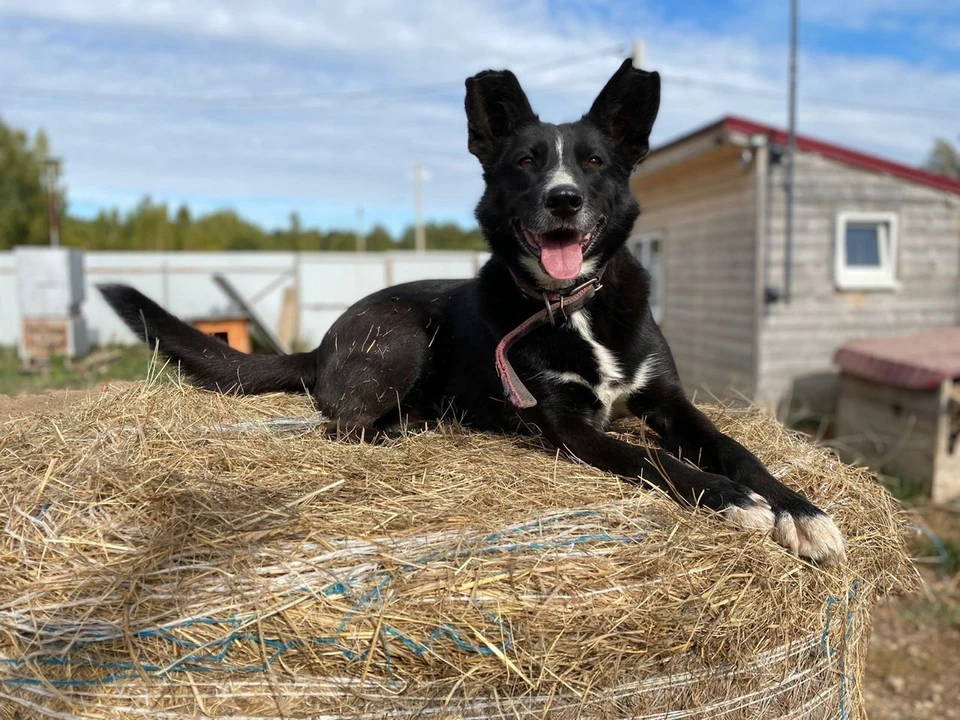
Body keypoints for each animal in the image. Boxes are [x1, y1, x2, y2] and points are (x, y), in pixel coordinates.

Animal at [99, 57, 848, 564]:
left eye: (594, 162)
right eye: (526, 162)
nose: (564, 200)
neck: (571, 307)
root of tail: (323, 340)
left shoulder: (669, 401)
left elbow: (738, 449)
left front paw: (799, 509)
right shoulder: (570, 426)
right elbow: (656, 463)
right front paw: (731, 500)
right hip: (406, 336)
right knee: (342, 424)